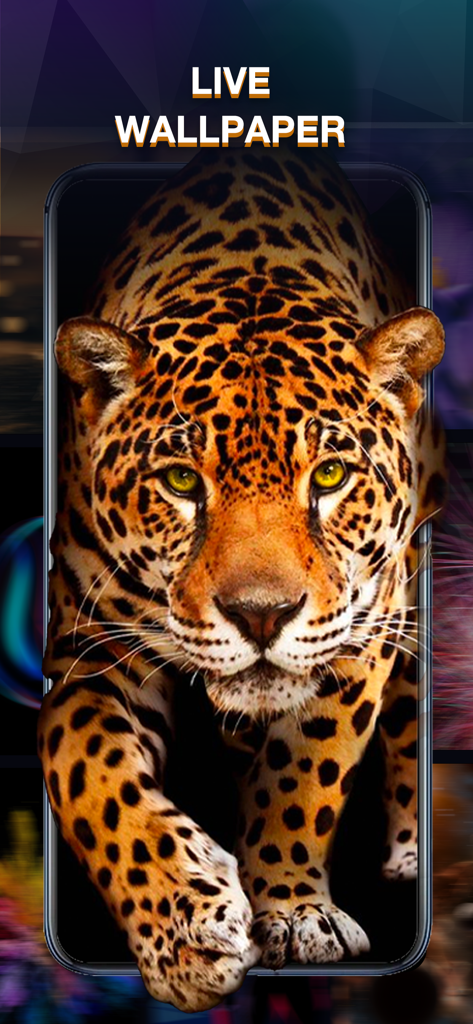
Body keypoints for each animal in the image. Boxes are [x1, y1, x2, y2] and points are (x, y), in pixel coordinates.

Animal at [38, 148, 445, 1012]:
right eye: (180, 482)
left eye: (329, 475)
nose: (261, 616)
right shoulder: (90, 652)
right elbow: (89, 774)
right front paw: (185, 930)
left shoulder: (360, 630)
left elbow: (306, 771)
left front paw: (291, 911)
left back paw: (405, 850)